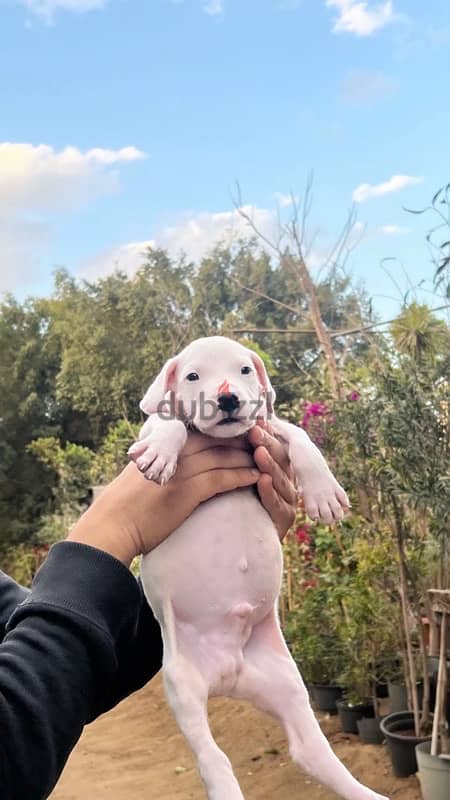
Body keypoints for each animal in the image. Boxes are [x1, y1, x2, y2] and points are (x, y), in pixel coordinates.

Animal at [128, 338, 388, 800]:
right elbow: (170, 425)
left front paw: (323, 492)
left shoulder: (267, 429)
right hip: (181, 686)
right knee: (212, 757)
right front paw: (162, 452)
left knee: (311, 752)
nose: (228, 397)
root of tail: (228, 672)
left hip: (287, 684)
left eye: (245, 369)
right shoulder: (152, 429)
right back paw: (224, 786)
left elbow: (299, 434)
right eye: (192, 376)